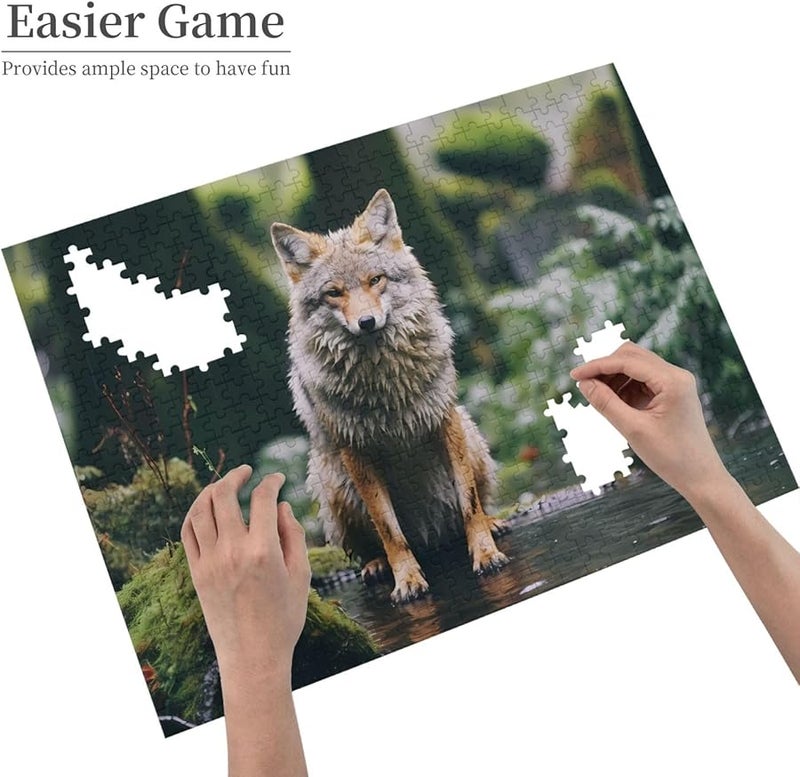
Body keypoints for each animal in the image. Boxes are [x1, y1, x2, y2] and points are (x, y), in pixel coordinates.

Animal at [271, 189, 509, 603]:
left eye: (376, 280)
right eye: (334, 293)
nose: (366, 322)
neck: (384, 383)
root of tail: (432, 537)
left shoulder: (445, 420)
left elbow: (469, 503)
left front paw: (485, 554)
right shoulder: (356, 451)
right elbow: (389, 529)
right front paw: (407, 580)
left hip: (471, 435)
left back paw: (492, 524)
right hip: (332, 481)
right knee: (367, 546)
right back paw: (377, 566)